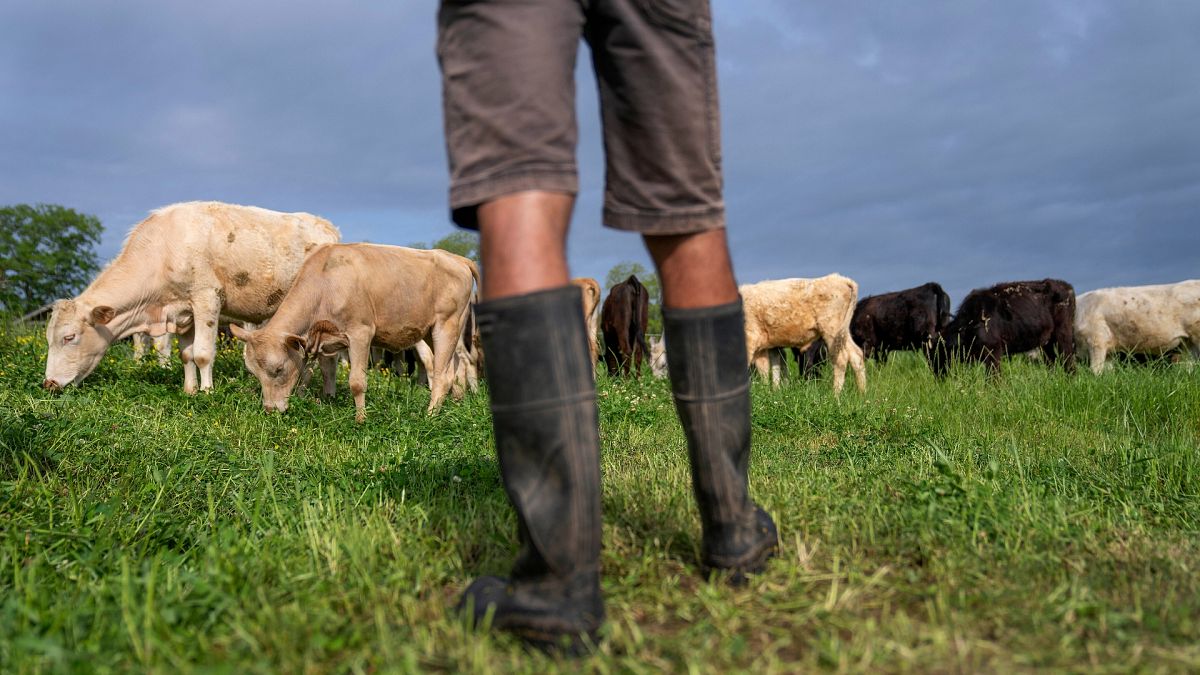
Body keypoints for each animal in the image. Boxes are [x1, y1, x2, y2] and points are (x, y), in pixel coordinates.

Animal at [43, 200, 338, 389]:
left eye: (69, 337)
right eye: (48, 338)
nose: (49, 383)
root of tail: (328, 227)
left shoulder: (206, 298)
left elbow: (202, 353)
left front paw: (207, 392)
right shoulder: (182, 312)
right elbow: (186, 354)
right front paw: (189, 390)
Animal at [231, 241, 475, 420]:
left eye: (278, 369)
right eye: (254, 372)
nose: (270, 410)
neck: (325, 282)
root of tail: (457, 258)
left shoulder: (360, 333)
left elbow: (357, 382)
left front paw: (361, 419)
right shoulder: (324, 340)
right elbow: (323, 372)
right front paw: (326, 400)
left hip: (447, 325)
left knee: (442, 375)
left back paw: (430, 416)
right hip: (433, 332)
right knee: (456, 367)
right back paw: (457, 403)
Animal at [734, 270, 868, 391]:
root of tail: (840, 279)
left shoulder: (750, 339)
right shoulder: (766, 346)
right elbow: (768, 369)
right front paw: (770, 392)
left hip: (832, 330)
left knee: (841, 358)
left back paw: (835, 395)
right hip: (843, 332)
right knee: (856, 355)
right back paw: (862, 394)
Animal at [926, 276, 1080, 374]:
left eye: (939, 353)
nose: (938, 376)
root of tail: (1067, 287)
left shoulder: (993, 352)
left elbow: (993, 378)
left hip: (1063, 335)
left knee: (1069, 363)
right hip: (1047, 343)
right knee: (1052, 363)